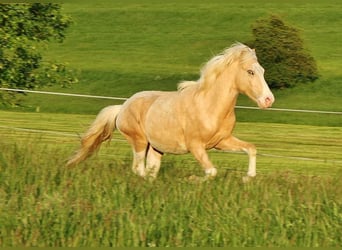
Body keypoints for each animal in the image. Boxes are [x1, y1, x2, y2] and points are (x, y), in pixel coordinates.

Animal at [67, 42, 276, 180]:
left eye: (263, 71)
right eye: (250, 72)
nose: (268, 100)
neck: (210, 106)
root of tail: (122, 107)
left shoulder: (221, 141)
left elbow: (251, 149)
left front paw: (248, 177)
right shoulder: (196, 146)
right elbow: (211, 172)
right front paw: (191, 179)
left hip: (155, 148)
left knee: (150, 170)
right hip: (139, 141)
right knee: (139, 169)